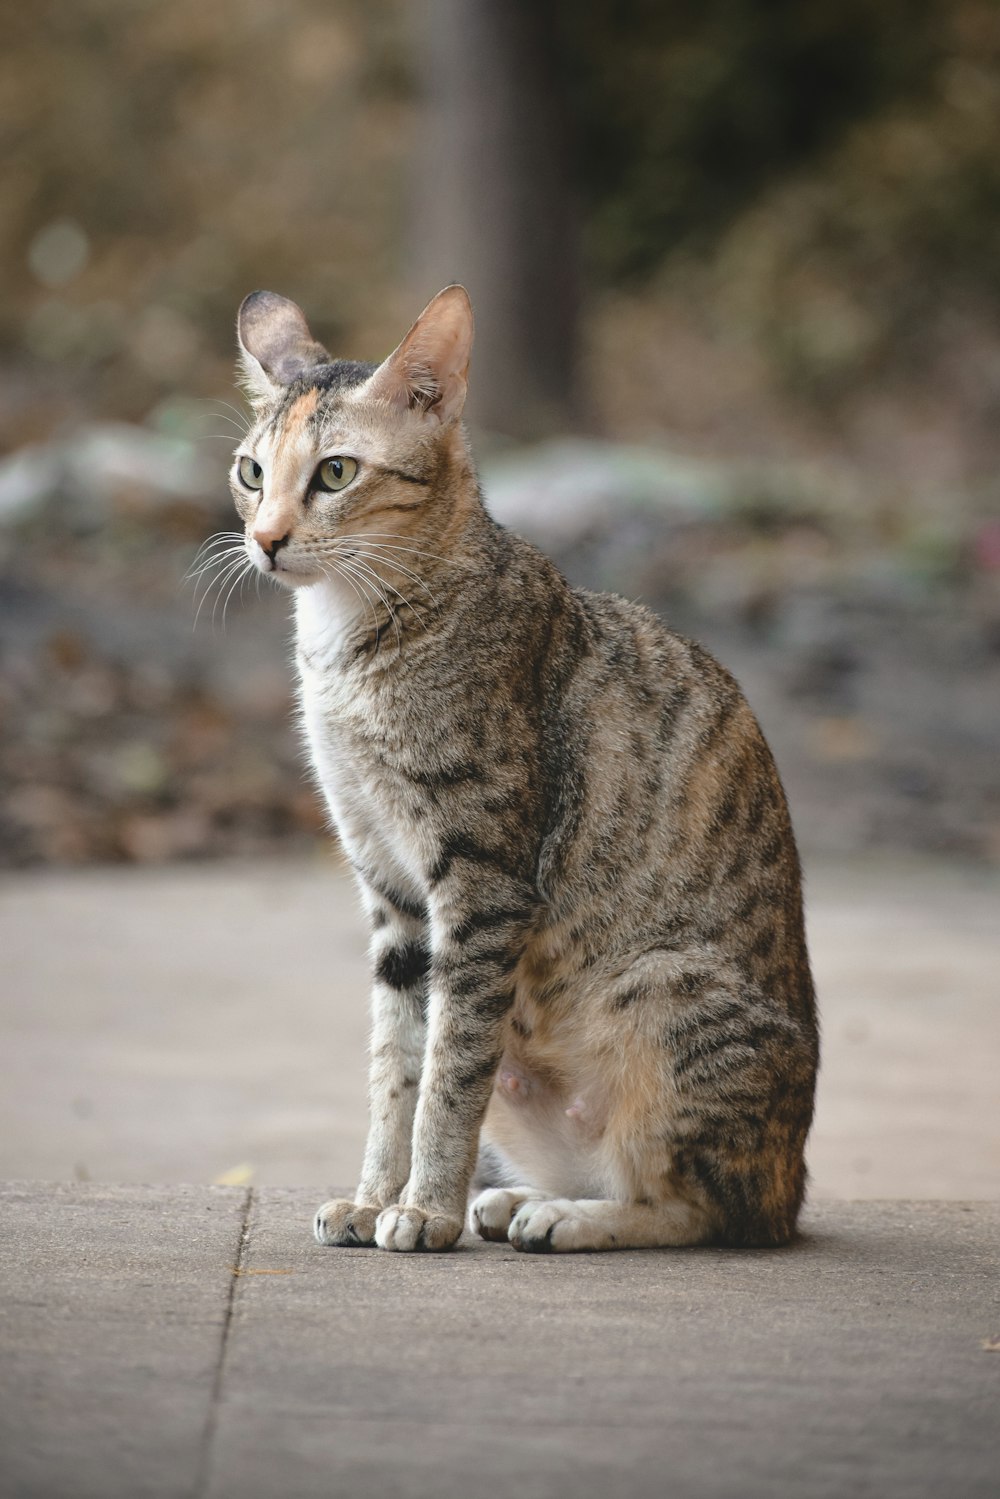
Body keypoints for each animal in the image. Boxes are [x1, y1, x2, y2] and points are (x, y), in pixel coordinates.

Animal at [229, 283, 821, 1253]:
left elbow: (449, 1068)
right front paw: (374, 1195)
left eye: (336, 474)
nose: (267, 538)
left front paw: (422, 1208)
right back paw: (518, 1198)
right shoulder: (392, 891)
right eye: (251, 473)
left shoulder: (484, 880)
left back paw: (567, 1216)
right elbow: (397, 1066)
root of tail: (793, 1178)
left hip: (661, 987)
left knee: (706, 1206)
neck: (348, 643)